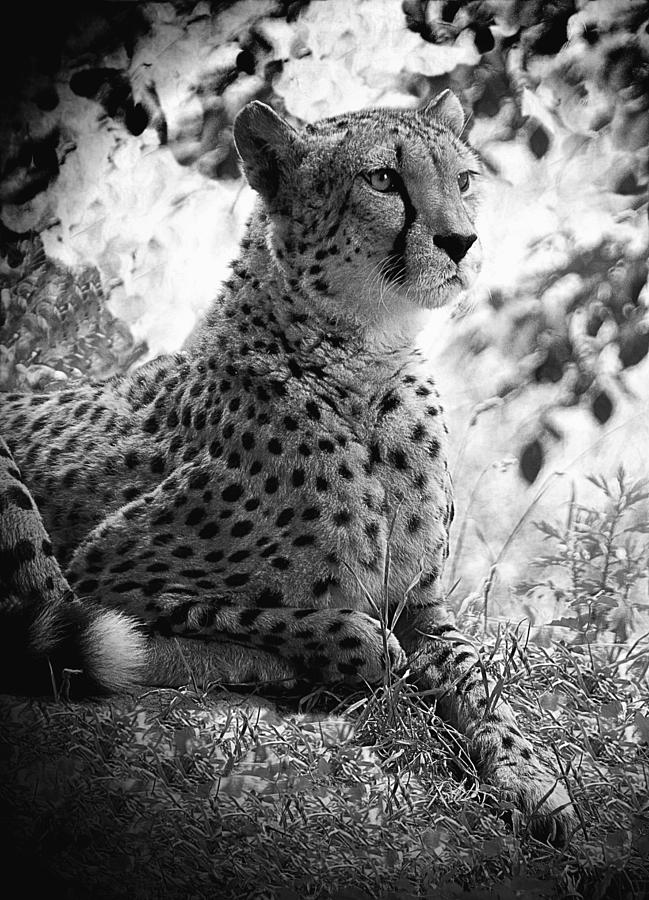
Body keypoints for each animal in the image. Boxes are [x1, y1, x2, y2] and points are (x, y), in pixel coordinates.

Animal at [0, 91, 572, 844]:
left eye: (465, 179)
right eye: (382, 180)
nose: (462, 242)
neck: (364, 365)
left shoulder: (423, 604)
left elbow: (480, 679)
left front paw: (531, 777)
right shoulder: (107, 572)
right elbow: (319, 624)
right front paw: (336, 658)